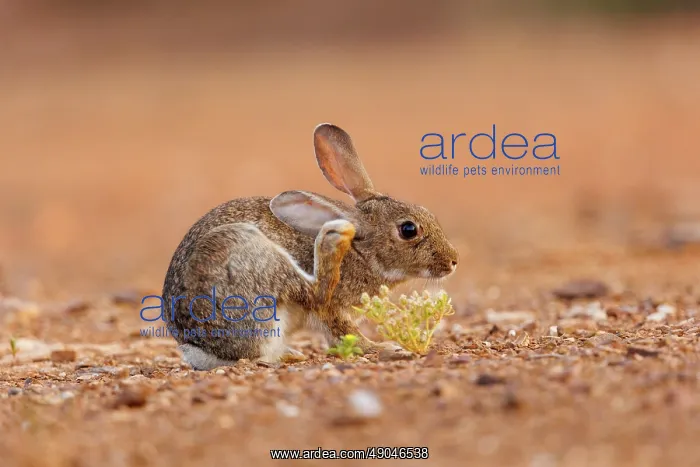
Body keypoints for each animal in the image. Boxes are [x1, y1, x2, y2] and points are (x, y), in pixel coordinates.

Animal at [161, 123, 459, 370]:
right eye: (409, 230)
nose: (453, 261)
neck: (362, 252)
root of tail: (198, 347)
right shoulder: (334, 309)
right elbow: (343, 332)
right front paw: (384, 347)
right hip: (248, 259)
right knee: (314, 291)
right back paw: (331, 241)